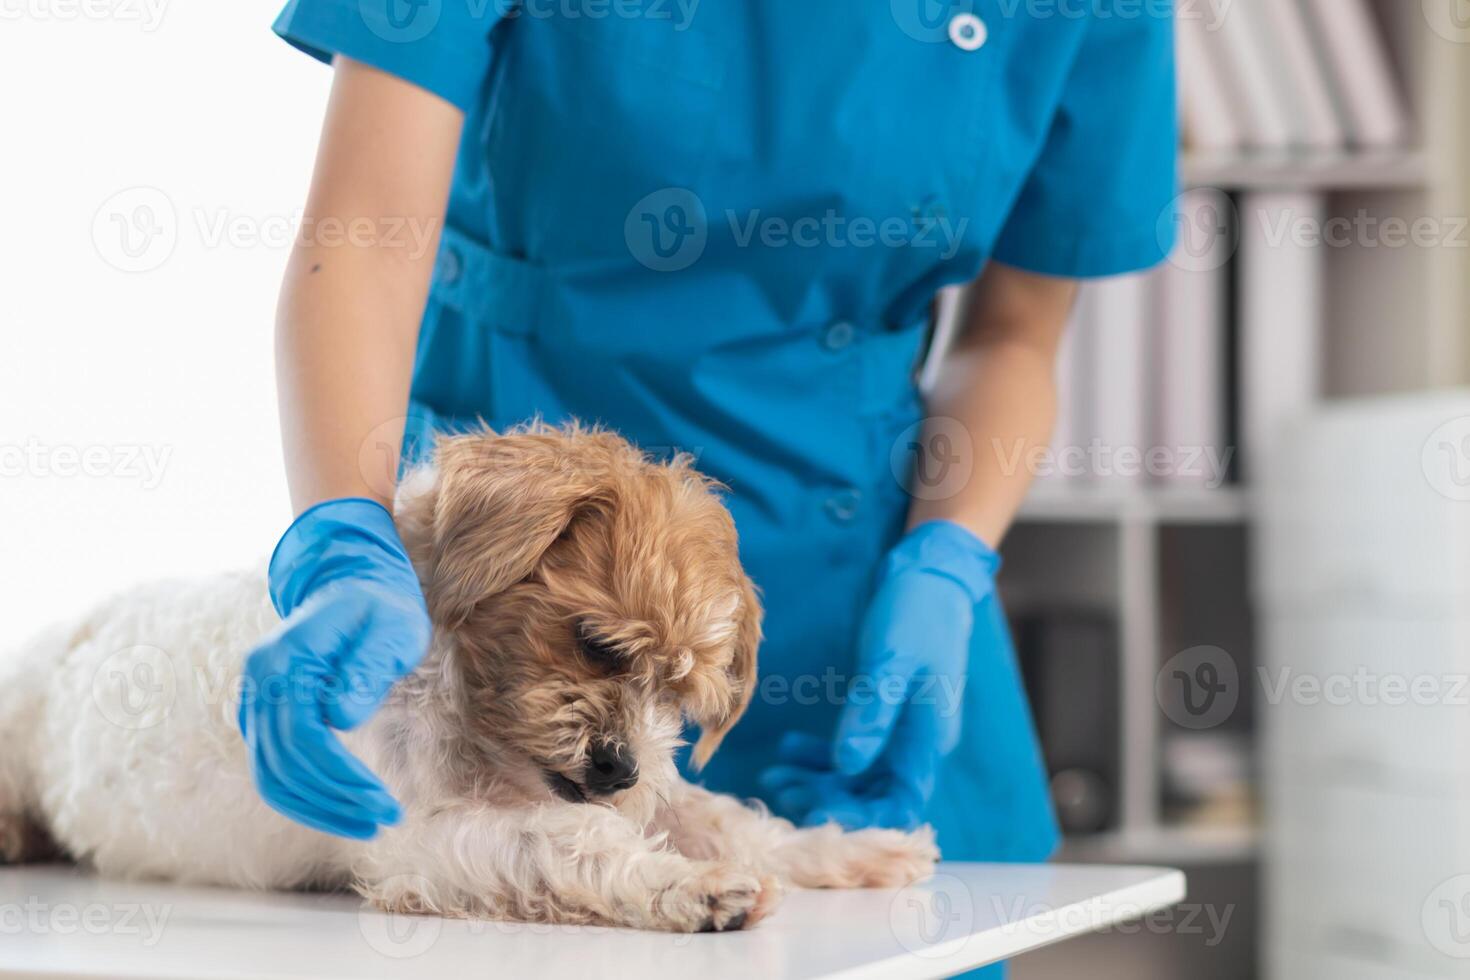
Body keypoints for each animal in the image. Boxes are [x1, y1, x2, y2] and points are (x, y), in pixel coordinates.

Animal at [0, 426, 934, 934]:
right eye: (596, 644)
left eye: (678, 696)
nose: (620, 768)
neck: (467, 707)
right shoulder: (427, 842)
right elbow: (573, 843)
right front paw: (693, 887)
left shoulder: (649, 795)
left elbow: (736, 822)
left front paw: (854, 847)